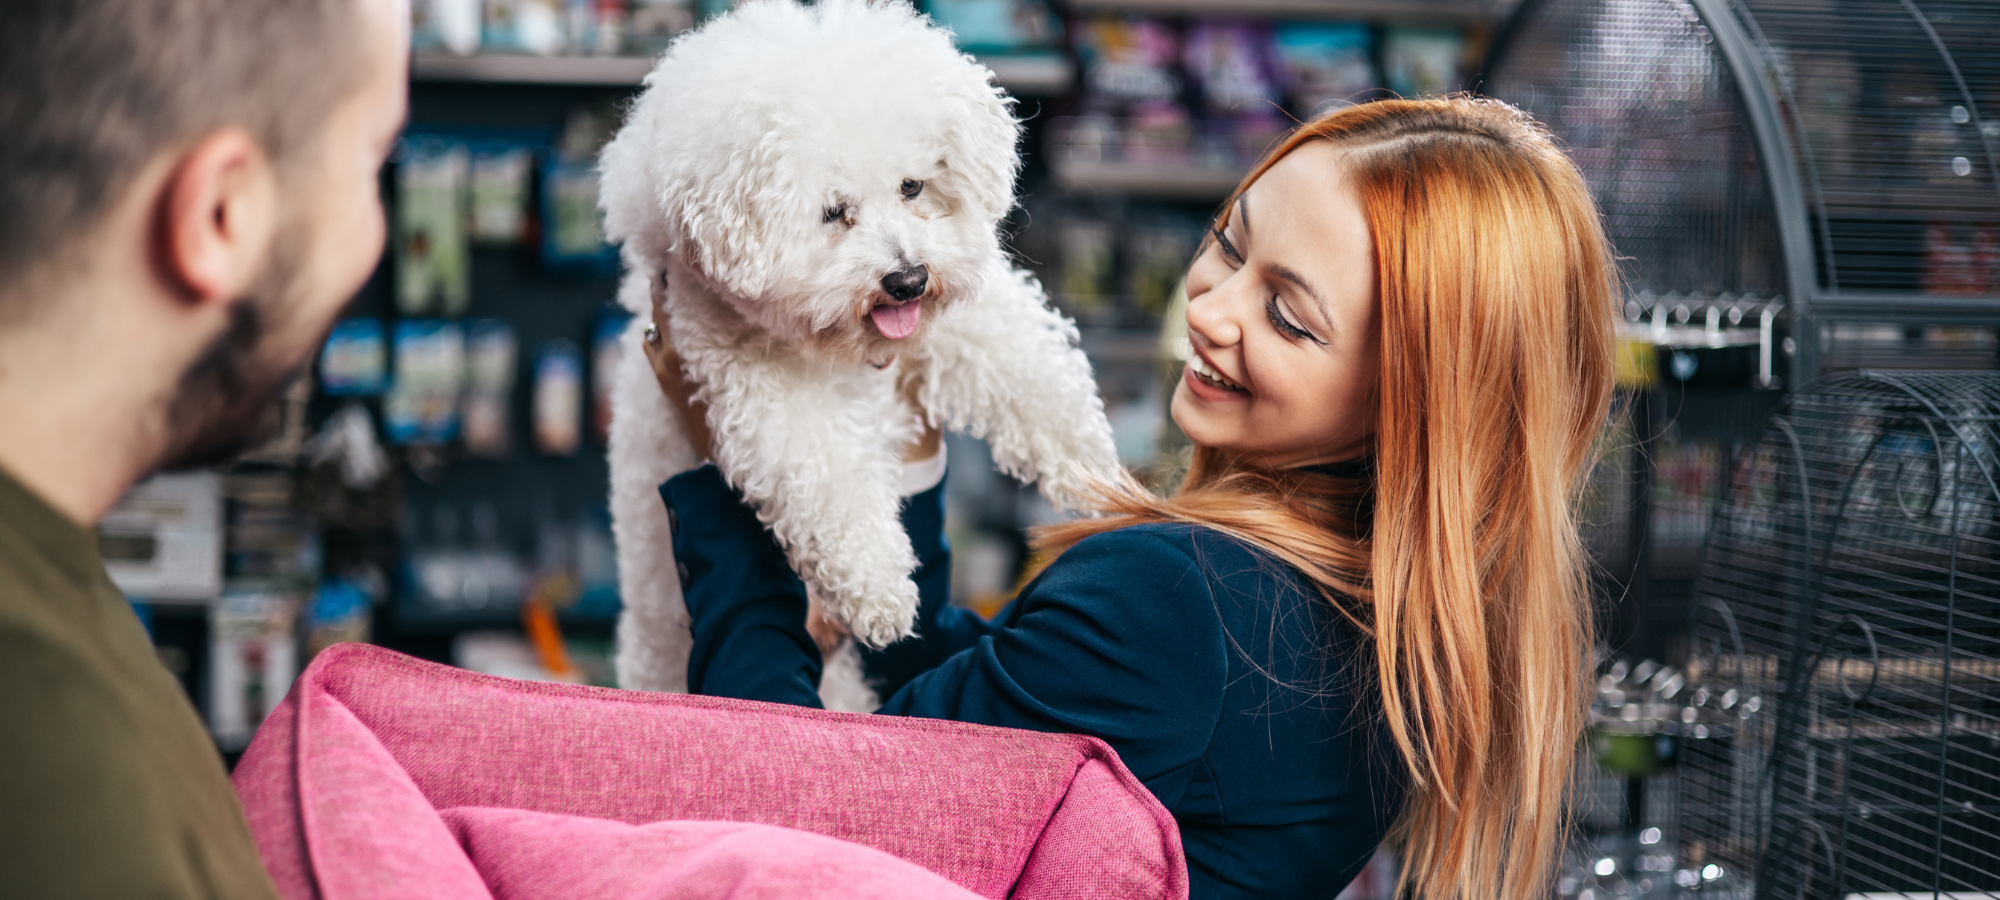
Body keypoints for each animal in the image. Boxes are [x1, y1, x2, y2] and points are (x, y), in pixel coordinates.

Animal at [592, 0, 1128, 712]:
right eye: (832, 212)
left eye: (912, 187)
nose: (907, 280)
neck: (846, 351)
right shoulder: (757, 391)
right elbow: (827, 479)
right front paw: (880, 590)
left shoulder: (958, 324)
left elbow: (1019, 360)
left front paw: (1090, 464)